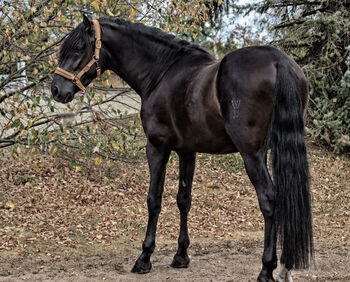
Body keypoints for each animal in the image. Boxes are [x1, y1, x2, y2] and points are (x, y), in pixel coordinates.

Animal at [52, 16, 314, 280]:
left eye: (78, 48)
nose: (56, 90)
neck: (161, 72)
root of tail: (279, 61)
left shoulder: (157, 147)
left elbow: (154, 199)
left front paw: (144, 257)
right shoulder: (187, 151)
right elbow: (183, 200)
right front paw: (181, 255)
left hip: (252, 155)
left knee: (269, 200)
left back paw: (266, 269)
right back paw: (285, 269)